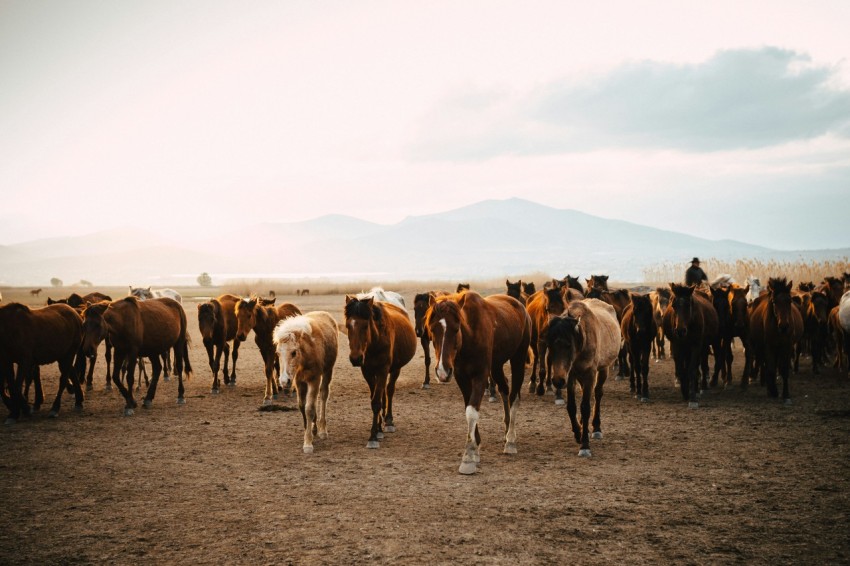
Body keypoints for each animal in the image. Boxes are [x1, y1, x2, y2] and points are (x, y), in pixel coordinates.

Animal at [274, 312, 336, 454]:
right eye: (278, 353)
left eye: (293, 352)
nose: (284, 381)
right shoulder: (299, 381)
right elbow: (302, 406)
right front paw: (311, 429)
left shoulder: (314, 379)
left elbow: (309, 408)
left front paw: (308, 443)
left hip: (328, 371)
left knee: (324, 395)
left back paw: (323, 430)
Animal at [342, 296, 414, 450]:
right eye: (348, 325)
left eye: (365, 326)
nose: (355, 358)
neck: (374, 343)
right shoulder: (367, 372)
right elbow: (375, 399)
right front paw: (378, 430)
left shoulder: (382, 370)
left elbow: (376, 402)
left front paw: (373, 437)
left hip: (395, 369)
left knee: (390, 391)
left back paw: (389, 421)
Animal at [424, 292, 528, 474]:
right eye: (432, 329)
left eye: (456, 328)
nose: (443, 371)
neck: (470, 337)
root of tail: (519, 304)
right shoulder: (462, 377)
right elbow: (469, 408)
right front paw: (476, 447)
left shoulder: (480, 376)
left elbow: (472, 412)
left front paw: (469, 455)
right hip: (496, 365)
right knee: (504, 389)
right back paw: (506, 428)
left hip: (518, 359)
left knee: (514, 396)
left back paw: (510, 440)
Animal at [548, 300, 620, 460]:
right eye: (550, 346)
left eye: (568, 345)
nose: (557, 381)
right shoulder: (570, 376)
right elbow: (572, 407)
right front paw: (578, 432)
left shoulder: (589, 374)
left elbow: (585, 407)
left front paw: (585, 446)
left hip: (603, 369)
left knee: (598, 394)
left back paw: (596, 428)